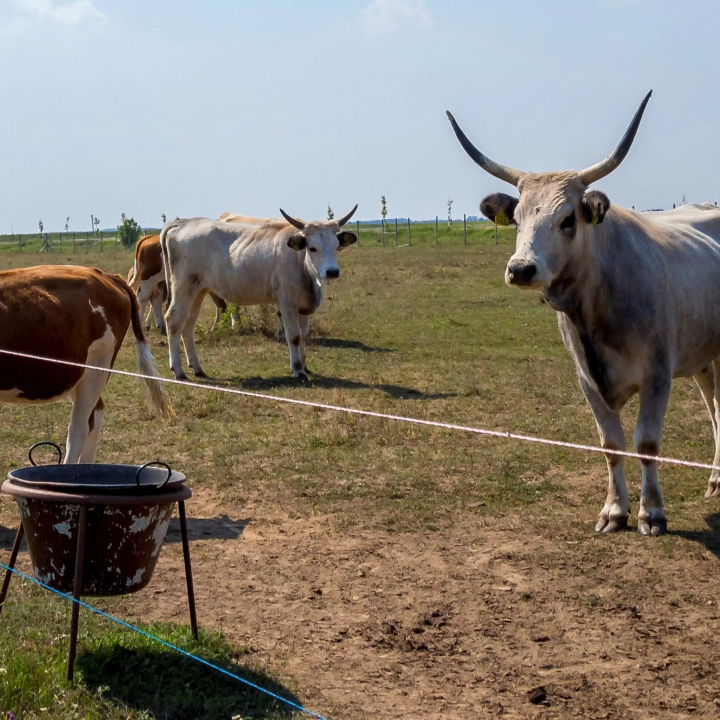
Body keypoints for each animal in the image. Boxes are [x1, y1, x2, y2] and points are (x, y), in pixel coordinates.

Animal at [160, 205, 358, 380]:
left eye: (336, 246)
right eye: (313, 248)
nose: (332, 271)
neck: (302, 264)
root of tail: (183, 222)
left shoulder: (304, 307)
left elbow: (303, 335)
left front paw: (304, 365)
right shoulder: (287, 303)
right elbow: (294, 336)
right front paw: (298, 369)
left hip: (198, 290)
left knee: (188, 324)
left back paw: (197, 368)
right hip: (182, 286)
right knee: (173, 320)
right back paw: (178, 370)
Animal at [450, 91, 720, 536]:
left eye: (567, 220)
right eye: (517, 220)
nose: (520, 269)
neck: (596, 307)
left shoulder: (658, 374)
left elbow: (647, 442)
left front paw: (651, 512)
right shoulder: (586, 378)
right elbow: (611, 444)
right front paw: (614, 510)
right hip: (702, 355)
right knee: (715, 409)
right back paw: (715, 480)